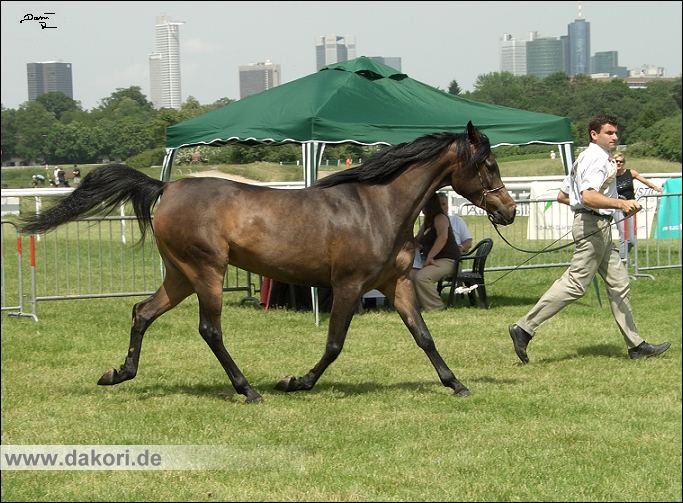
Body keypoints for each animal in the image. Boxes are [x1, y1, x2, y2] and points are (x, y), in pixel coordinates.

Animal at [21, 124, 516, 404]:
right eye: (488, 164)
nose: (509, 211)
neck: (377, 206)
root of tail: (167, 188)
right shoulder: (349, 285)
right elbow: (334, 344)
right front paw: (294, 382)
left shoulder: (397, 284)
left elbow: (423, 336)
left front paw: (456, 384)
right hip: (207, 273)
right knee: (210, 330)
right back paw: (249, 390)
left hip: (180, 276)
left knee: (141, 312)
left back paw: (117, 374)